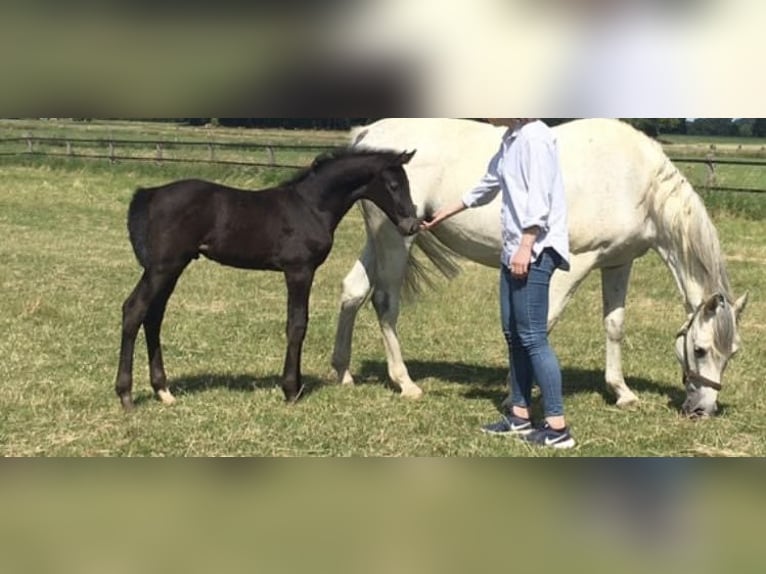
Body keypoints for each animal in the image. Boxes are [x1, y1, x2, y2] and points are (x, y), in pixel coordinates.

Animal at [115, 148, 419, 410]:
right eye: (393, 185)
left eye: (407, 183)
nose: (412, 225)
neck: (310, 206)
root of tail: (150, 194)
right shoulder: (299, 270)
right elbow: (297, 325)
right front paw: (291, 390)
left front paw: (296, 386)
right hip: (162, 267)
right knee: (134, 309)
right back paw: (126, 395)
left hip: (172, 268)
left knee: (153, 316)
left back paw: (163, 391)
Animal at [332, 118, 748, 418]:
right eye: (700, 350)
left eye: (733, 353)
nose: (703, 410)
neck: (634, 181)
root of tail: (369, 133)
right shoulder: (573, 264)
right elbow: (543, 321)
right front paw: (514, 394)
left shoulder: (617, 262)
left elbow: (614, 326)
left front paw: (622, 393)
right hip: (395, 239)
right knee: (385, 302)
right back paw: (406, 383)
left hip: (384, 237)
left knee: (353, 291)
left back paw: (343, 372)